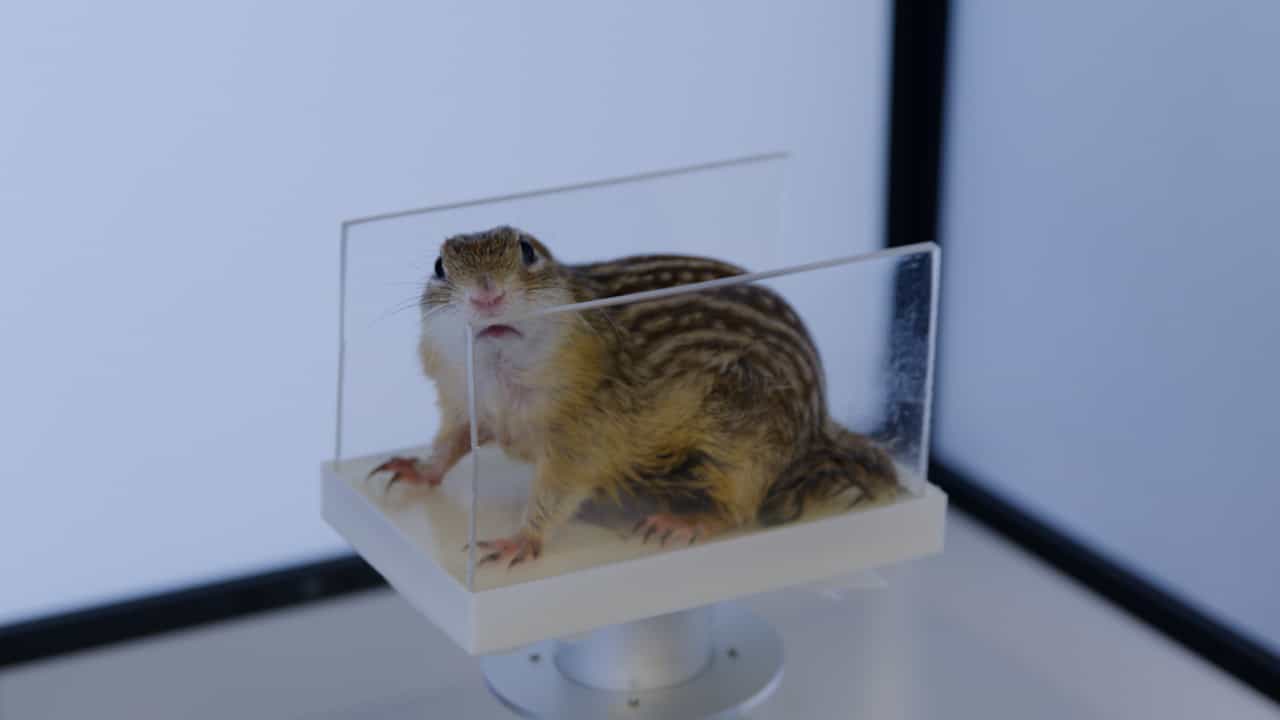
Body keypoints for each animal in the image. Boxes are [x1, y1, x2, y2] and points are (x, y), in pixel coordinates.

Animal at [368, 226, 898, 567]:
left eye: (528, 250)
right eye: (440, 267)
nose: (487, 294)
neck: (502, 380)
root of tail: (819, 426)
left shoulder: (584, 434)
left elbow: (557, 491)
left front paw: (520, 539)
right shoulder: (464, 403)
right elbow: (449, 443)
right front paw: (414, 469)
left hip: (745, 442)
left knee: (741, 510)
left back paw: (684, 522)